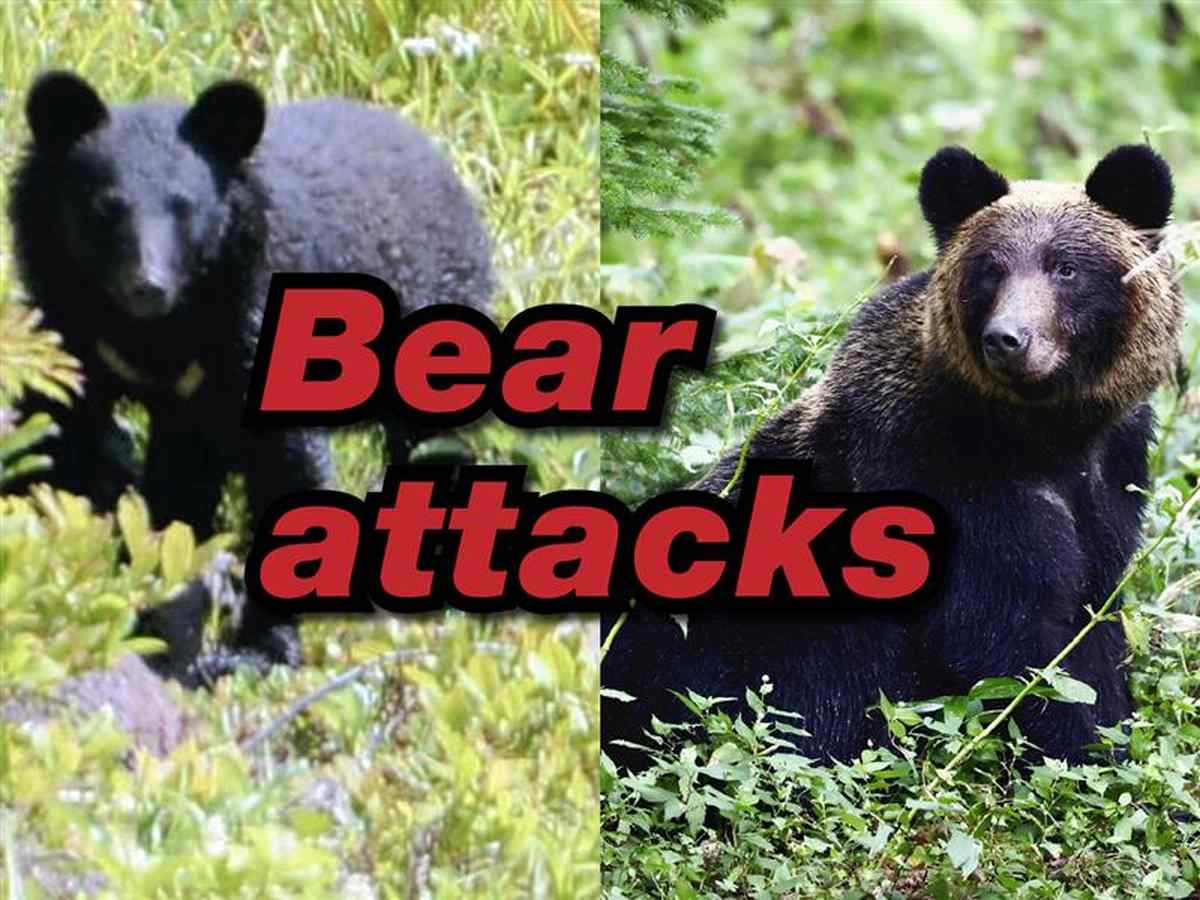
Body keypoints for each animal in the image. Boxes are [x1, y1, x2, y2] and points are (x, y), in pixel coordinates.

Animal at [7, 72, 493, 675]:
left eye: (185, 208)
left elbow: (287, 467)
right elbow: (60, 436)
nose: (148, 286)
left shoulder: (259, 325)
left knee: (434, 442)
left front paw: (257, 650)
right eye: (106, 208)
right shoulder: (71, 330)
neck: (162, 330)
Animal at [601, 144, 1181, 770]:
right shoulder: (948, 478)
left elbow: (1093, 622)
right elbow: (1011, 640)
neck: (1047, 433)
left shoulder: (1113, 477)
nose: (1009, 338)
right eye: (992, 267)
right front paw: (1090, 749)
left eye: (1065, 267)